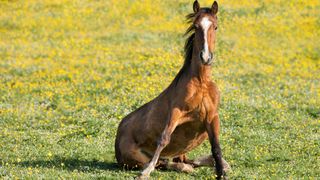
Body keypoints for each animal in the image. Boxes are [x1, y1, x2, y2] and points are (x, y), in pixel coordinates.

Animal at [115, 0, 230, 179]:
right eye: (196, 26)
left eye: (216, 27)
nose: (205, 57)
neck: (201, 82)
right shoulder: (176, 111)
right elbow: (164, 137)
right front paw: (145, 173)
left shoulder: (212, 116)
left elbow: (216, 146)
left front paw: (221, 172)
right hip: (135, 158)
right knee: (163, 163)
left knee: (182, 160)